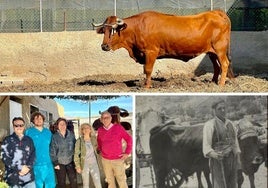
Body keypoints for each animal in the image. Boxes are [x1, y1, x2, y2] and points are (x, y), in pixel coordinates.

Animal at [93, 10, 233, 88]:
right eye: (104, 30)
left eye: (113, 30)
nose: (104, 46)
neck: (137, 27)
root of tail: (216, 12)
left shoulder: (151, 52)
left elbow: (148, 70)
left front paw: (147, 86)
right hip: (211, 52)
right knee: (217, 66)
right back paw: (213, 81)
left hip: (220, 49)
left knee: (224, 64)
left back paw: (221, 84)